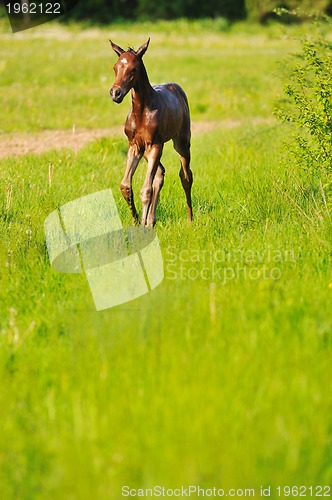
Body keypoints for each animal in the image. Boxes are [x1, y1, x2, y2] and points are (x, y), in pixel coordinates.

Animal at [109, 39, 192, 227]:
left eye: (134, 69)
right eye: (115, 67)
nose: (115, 93)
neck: (141, 112)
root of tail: (177, 88)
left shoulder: (155, 145)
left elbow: (145, 189)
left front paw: (142, 225)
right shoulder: (135, 146)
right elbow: (125, 186)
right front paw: (137, 222)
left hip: (181, 142)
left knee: (186, 176)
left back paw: (190, 219)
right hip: (146, 151)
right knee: (160, 174)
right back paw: (150, 220)